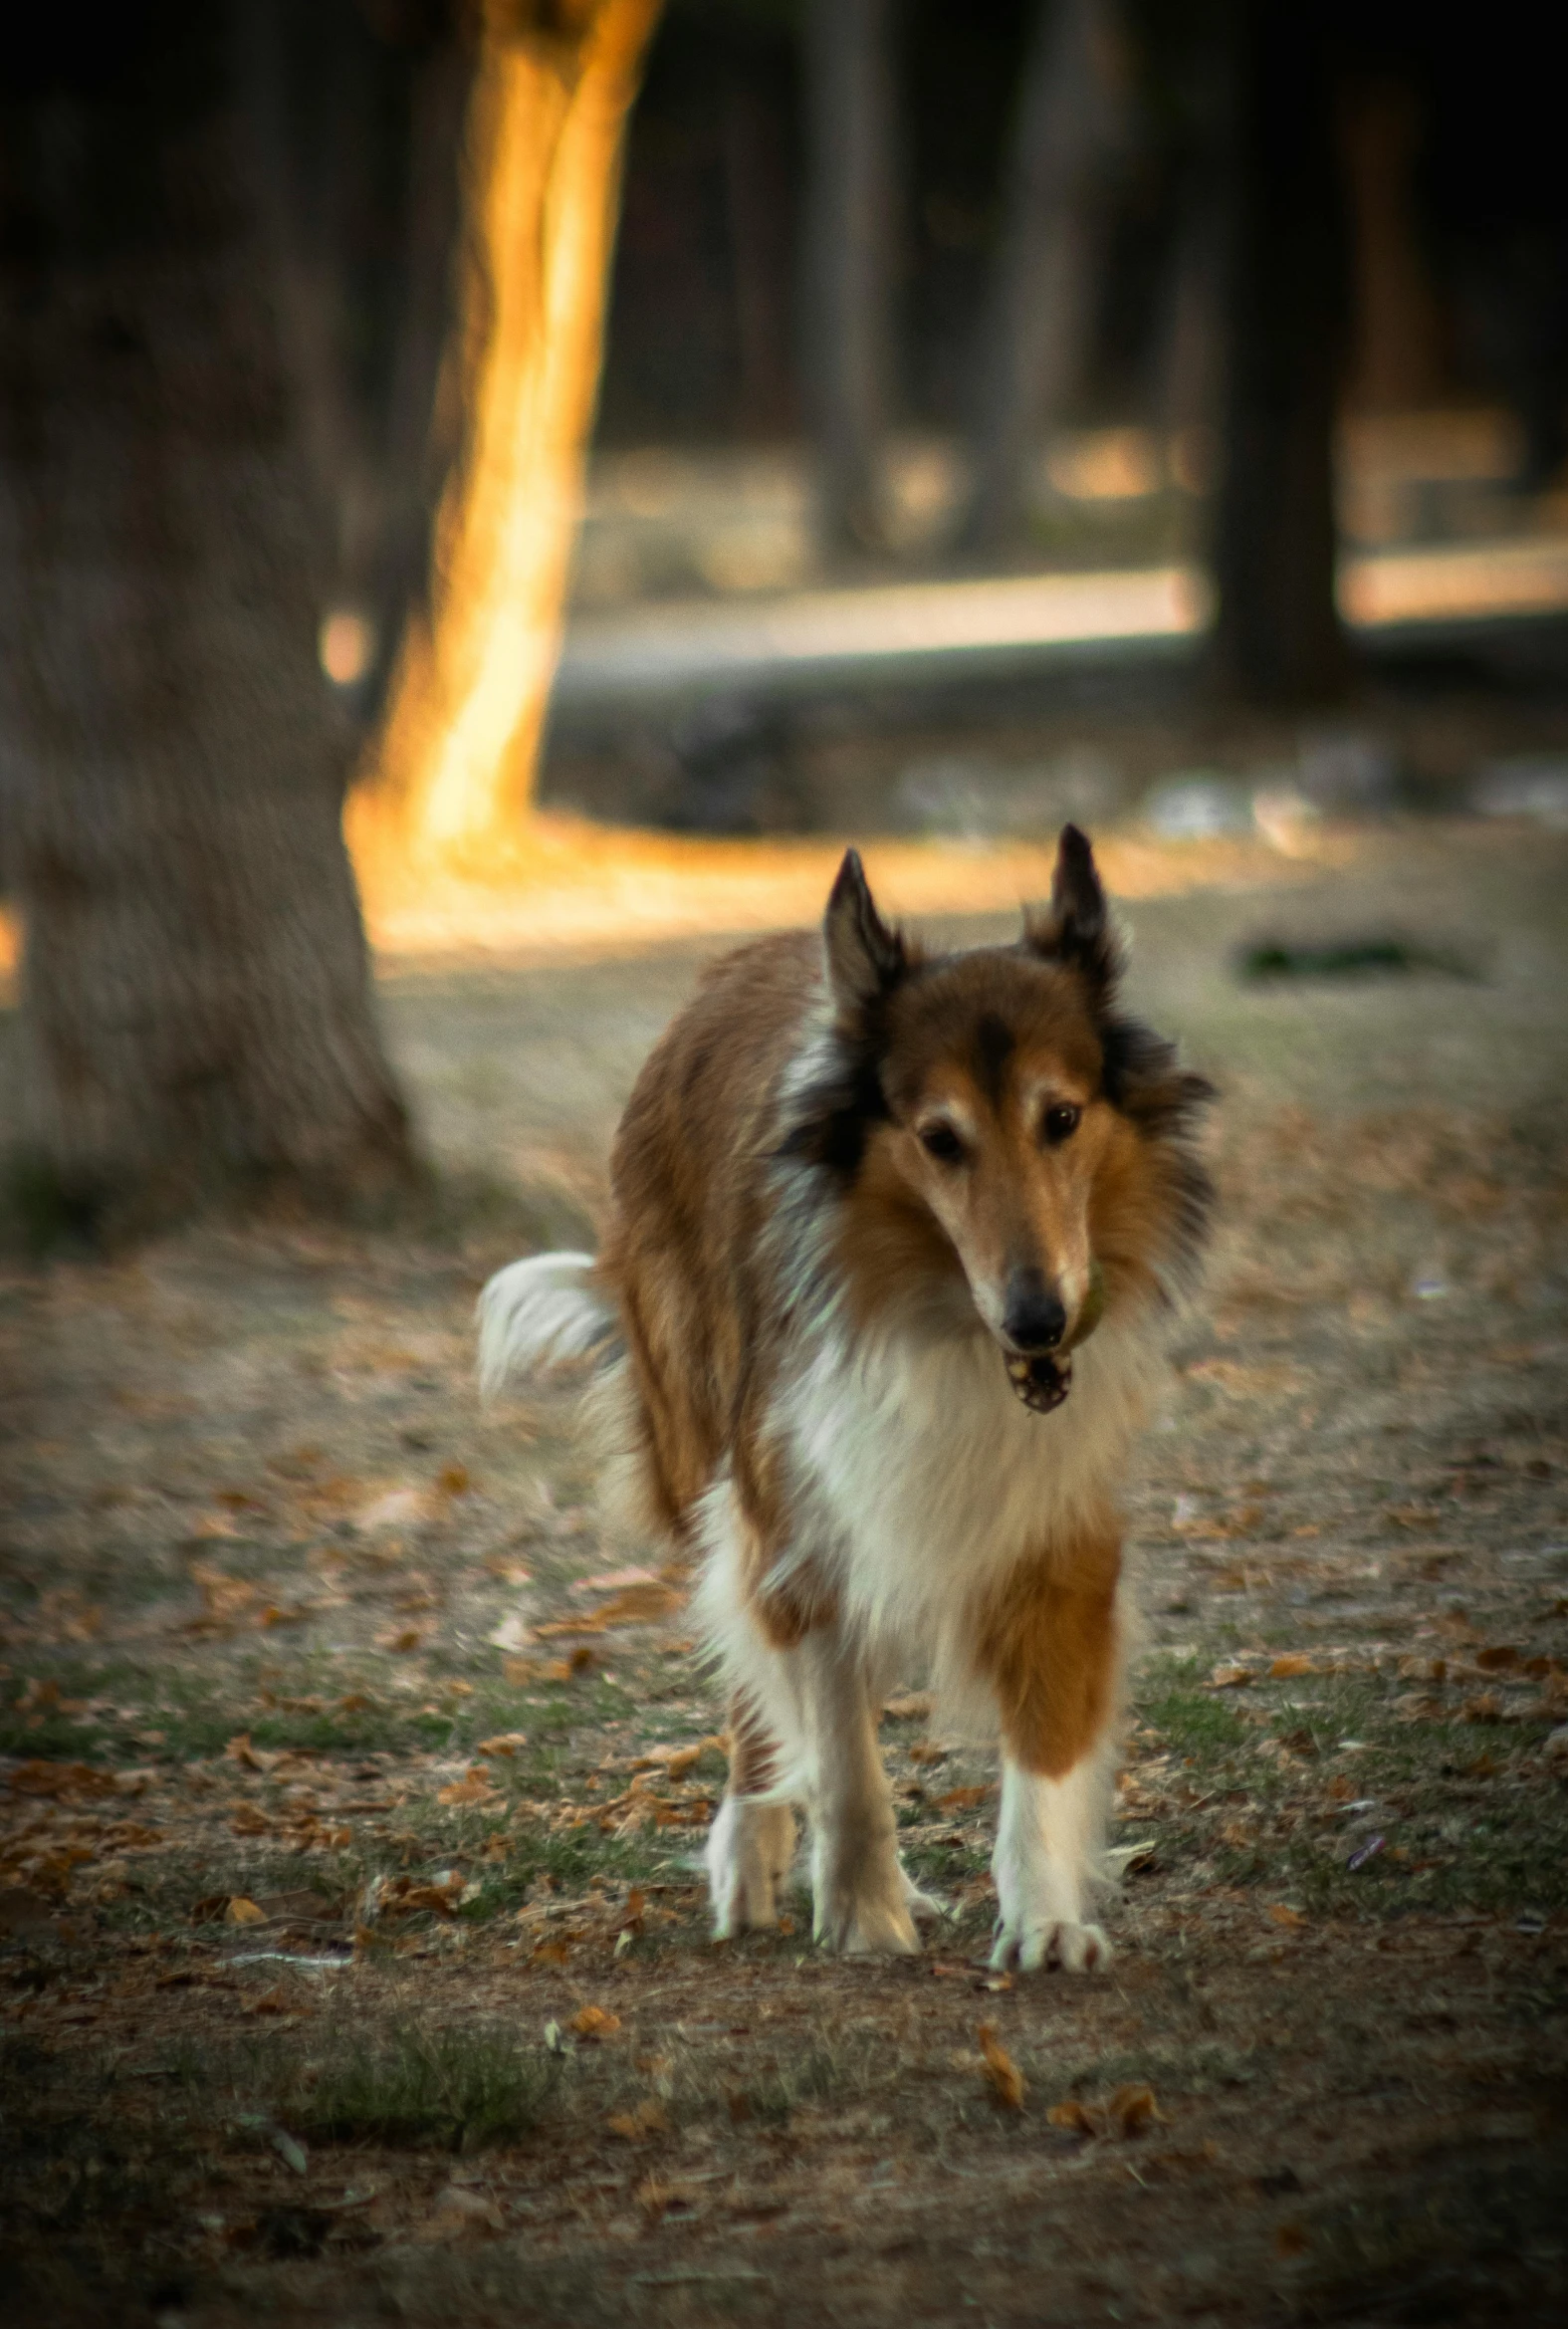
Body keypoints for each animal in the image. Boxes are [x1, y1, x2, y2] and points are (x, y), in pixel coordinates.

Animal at [477, 828, 1211, 1975]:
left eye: (1062, 1117)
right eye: (939, 1138)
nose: (1041, 1320)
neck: (940, 1312)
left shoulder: (1056, 1515)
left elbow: (1044, 1740)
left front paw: (1045, 1917)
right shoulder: (801, 1510)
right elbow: (841, 1748)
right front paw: (863, 1911)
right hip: (708, 1443)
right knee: (749, 1670)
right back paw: (750, 1850)